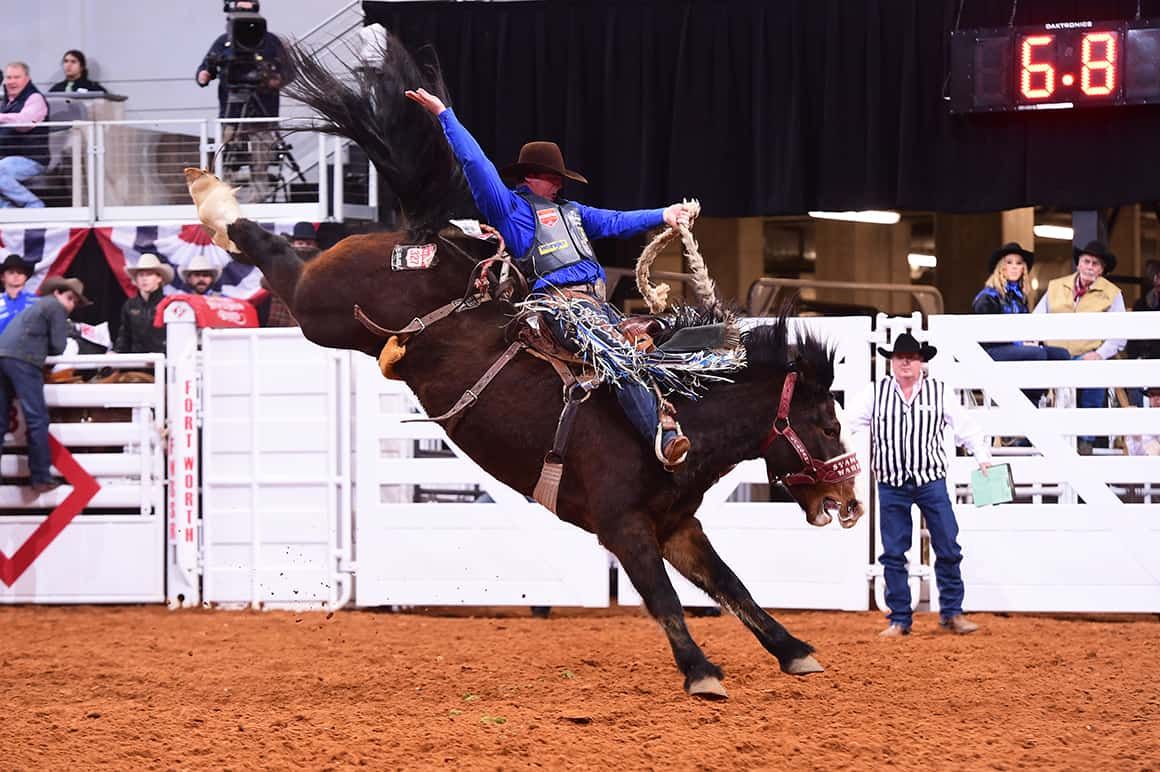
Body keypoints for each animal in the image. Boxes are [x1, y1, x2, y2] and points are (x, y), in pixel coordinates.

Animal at [206, 34, 872, 695]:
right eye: (827, 424)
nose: (849, 503)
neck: (682, 413)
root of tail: (423, 234)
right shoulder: (623, 526)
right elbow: (664, 600)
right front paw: (702, 672)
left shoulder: (678, 526)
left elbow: (733, 587)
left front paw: (794, 650)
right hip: (324, 307)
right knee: (282, 263)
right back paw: (218, 206)